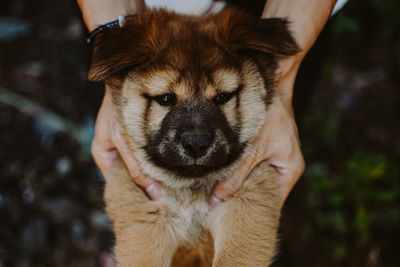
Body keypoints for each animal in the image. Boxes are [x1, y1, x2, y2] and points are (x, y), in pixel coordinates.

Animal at [89, 7, 298, 266]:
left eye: (223, 97)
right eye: (166, 98)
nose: (196, 144)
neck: (191, 188)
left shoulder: (247, 201)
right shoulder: (147, 216)